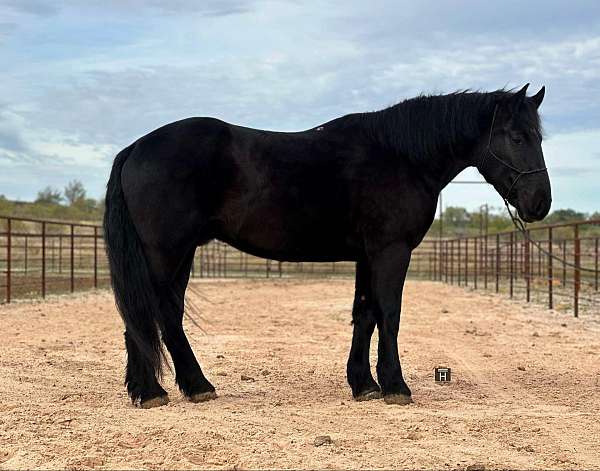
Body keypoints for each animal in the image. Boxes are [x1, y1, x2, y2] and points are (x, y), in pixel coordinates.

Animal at [102, 85, 548, 410]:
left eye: (538, 136)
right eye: (517, 136)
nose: (540, 203)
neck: (400, 156)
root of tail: (137, 147)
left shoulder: (369, 255)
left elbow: (365, 314)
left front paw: (364, 385)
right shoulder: (391, 250)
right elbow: (389, 314)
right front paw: (396, 386)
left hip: (181, 254)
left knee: (164, 315)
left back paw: (186, 387)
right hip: (164, 253)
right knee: (147, 315)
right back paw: (154, 392)